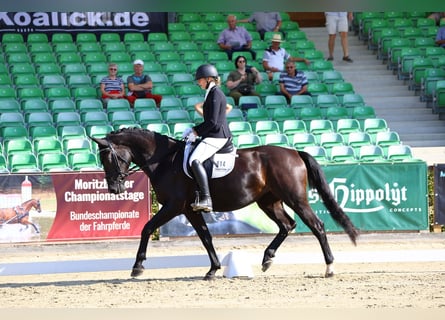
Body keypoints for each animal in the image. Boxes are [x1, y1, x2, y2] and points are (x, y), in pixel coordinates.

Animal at [91, 129, 358, 278]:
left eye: (109, 158)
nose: (114, 189)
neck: (164, 160)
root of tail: (294, 152)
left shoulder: (173, 206)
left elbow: (147, 228)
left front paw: (137, 266)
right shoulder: (189, 209)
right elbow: (205, 237)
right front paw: (213, 269)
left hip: (296, 198)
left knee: (317, 226)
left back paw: (329, 268)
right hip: (269, 202)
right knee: (287, 225)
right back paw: (267, 258)